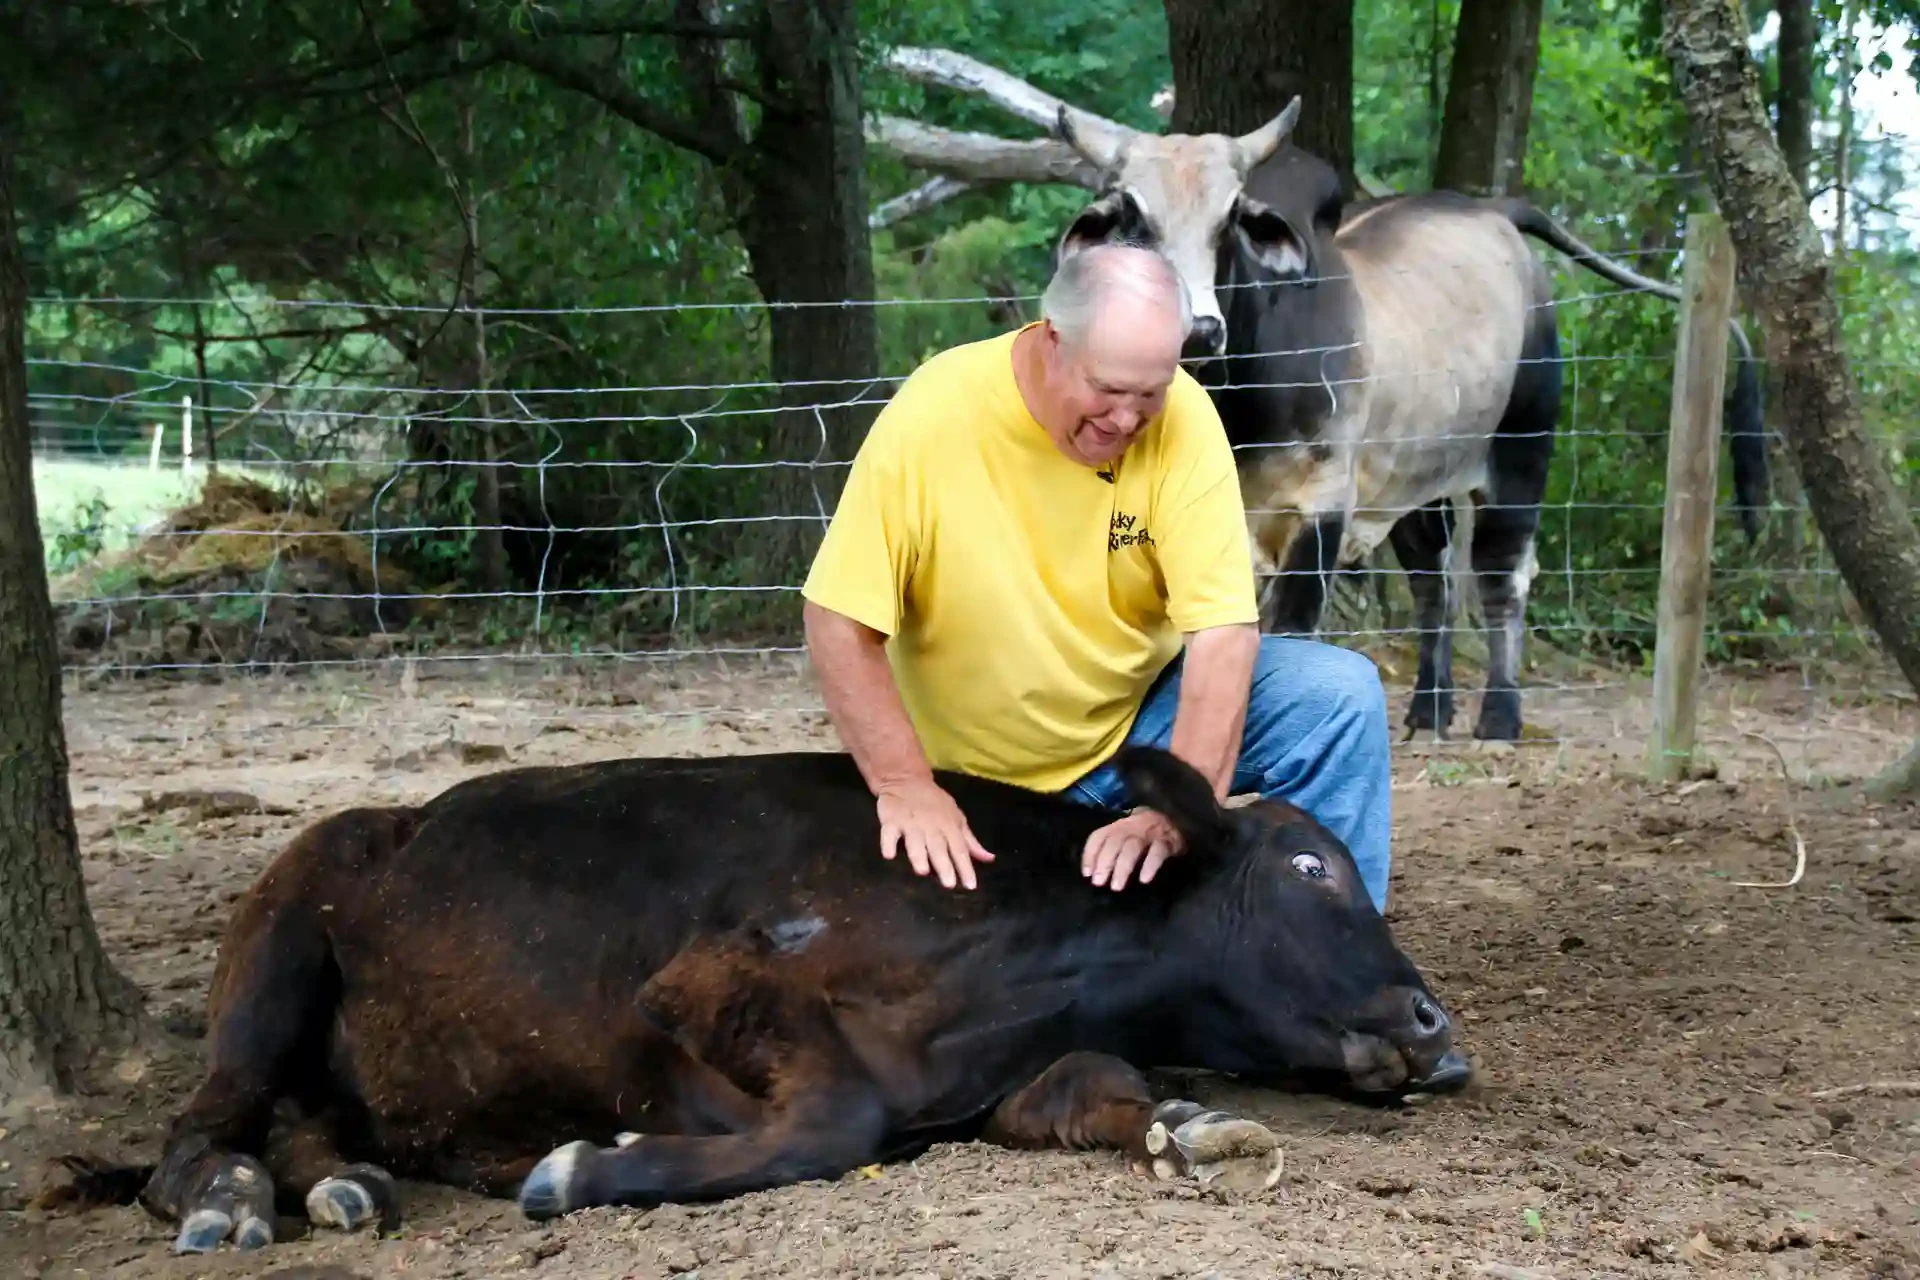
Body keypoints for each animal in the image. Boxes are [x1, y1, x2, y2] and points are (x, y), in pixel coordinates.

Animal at [52, 744, 1459, 1258]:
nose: (1434, 1023)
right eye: (1313, 866)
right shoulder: (709, 982)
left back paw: (345, 1184)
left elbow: (1102, 1086)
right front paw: (586, 1163)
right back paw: (236, 1200)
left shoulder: (1013, 1074)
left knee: (312, 1123)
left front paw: (1190, 1124)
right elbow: (832, 1120)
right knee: (196, 1131)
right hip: (276, 951)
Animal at [1052, 102, 1766, 740]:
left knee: (1502, 573)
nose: (1198, 331)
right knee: (1434, 584)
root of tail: (1497, 213)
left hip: (1522, 446)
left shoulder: (1322, 505)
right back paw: (1431, 707)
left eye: (1230, 217)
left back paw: (1500, 716)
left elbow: (1293, 631)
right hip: (1415, 483)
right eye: (1133, 217)